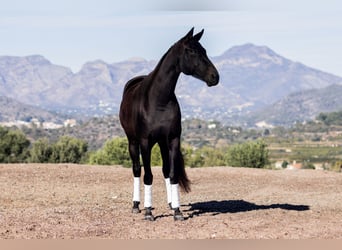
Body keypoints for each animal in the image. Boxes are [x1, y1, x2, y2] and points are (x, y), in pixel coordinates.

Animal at [119, 28, 219, 222]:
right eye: (192, 51)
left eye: (204, 51)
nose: (215, 77)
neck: (159, 100)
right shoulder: (145, 142)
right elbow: (148, 175)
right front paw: (148, 212)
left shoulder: (173, 139)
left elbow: (172, 174)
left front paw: (177, 211)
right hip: (133, 142)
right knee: (137, 170)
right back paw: (136, 205)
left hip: (162, 143)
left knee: (165, 170)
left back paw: (171, 203)